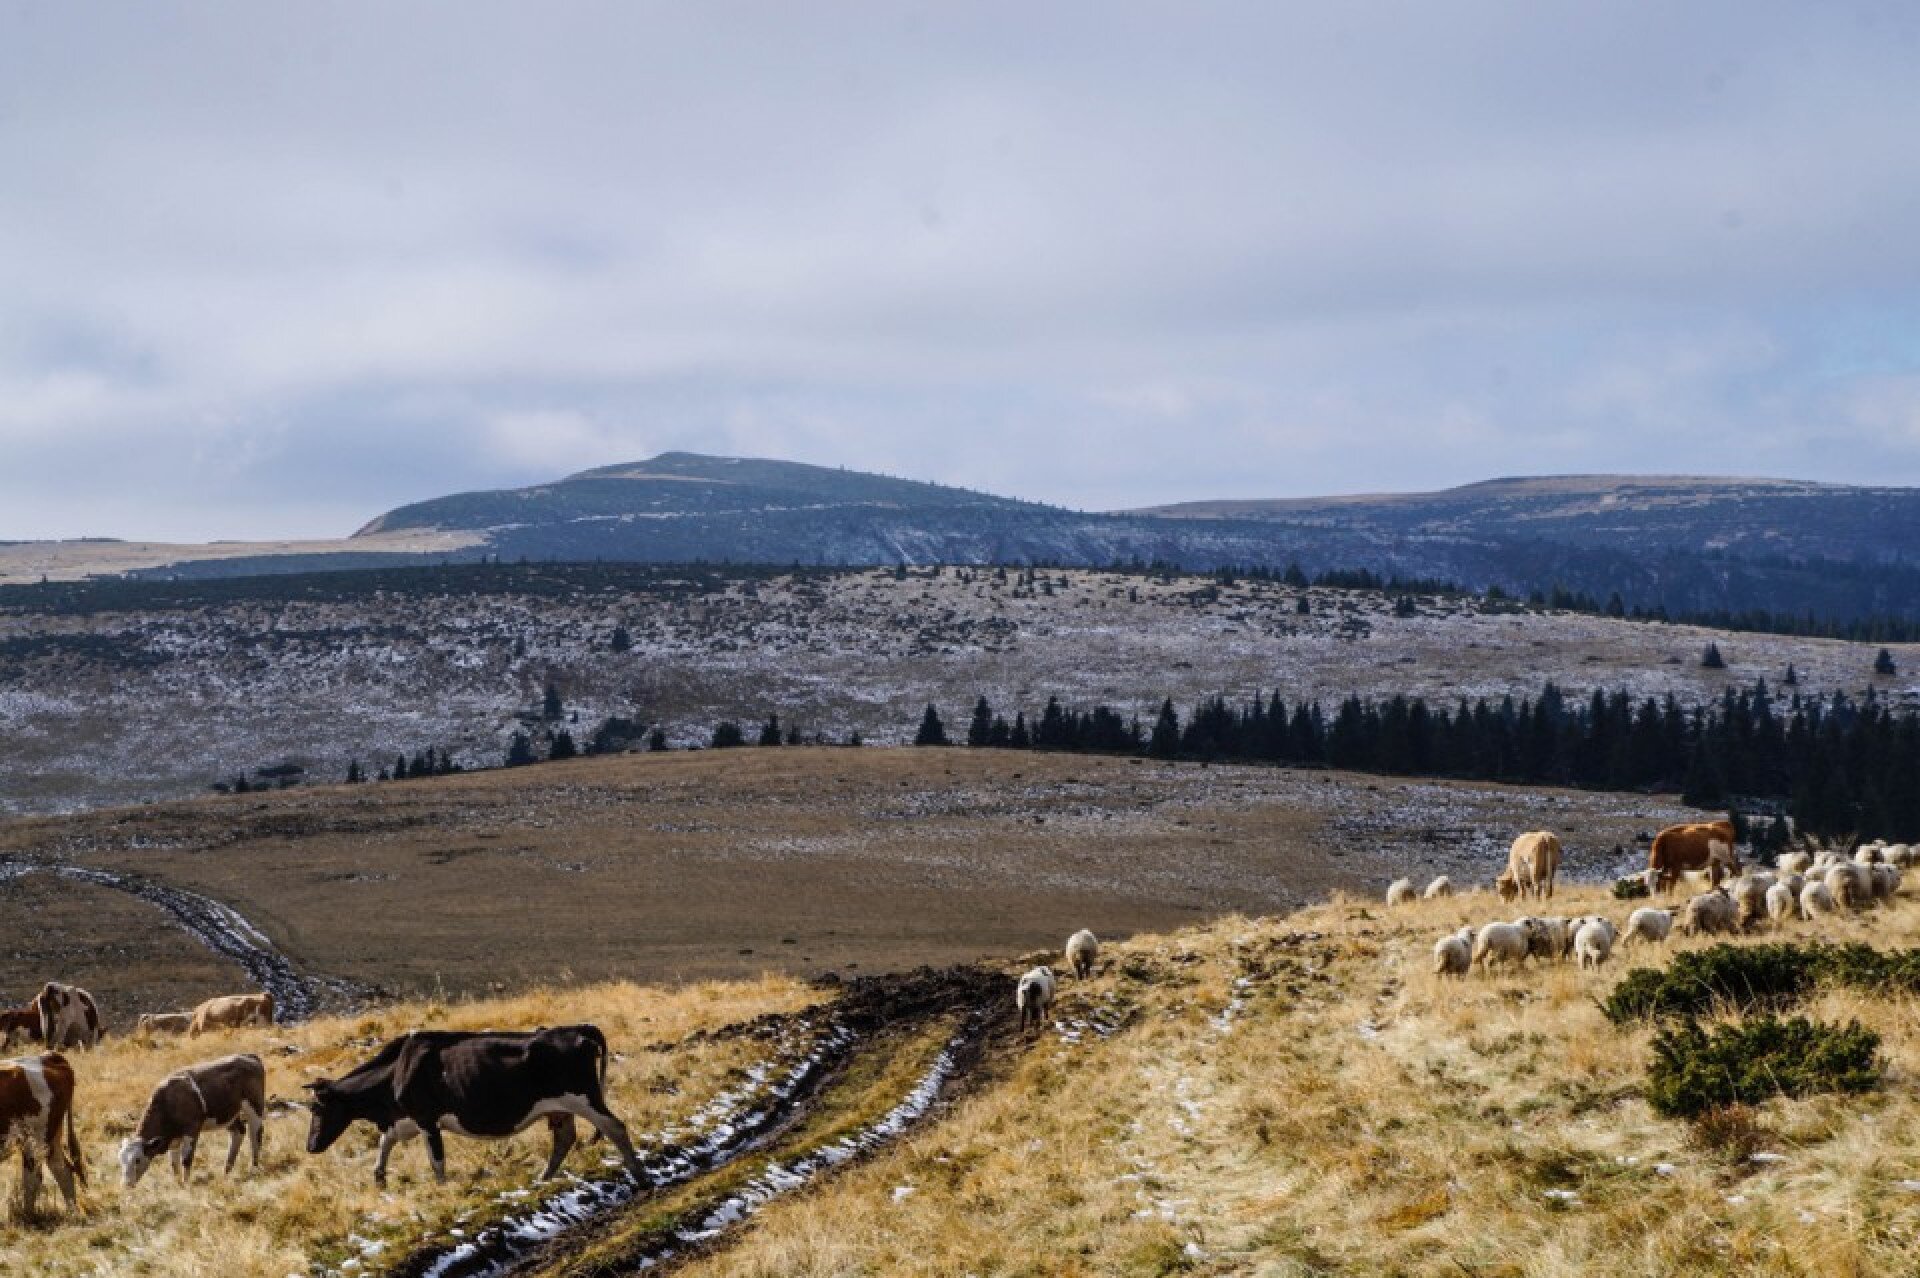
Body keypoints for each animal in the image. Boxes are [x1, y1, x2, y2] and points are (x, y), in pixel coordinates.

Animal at [0, 1052, 85, 1217]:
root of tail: (45, 1057)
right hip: (52, 1137)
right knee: (62, 1169)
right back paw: (72, 1213)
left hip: (36, 1137)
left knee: (33, 1178)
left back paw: (27, 1217)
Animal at [120, 1054, 266, 1187]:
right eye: (121, 1160)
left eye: (137, 1160)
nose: (126, 1184)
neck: (167, 1102)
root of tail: (248, 1056)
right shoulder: (174, 1138)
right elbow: (174, 1163)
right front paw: (178, 1184)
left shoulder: (192, 1129)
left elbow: (186, 1159)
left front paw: (186, 1184)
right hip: (228, 1115)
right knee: (239, 1133)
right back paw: (226, 1171)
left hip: (255, 1106)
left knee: (256, 1135)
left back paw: (253, 1169)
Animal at [303, 1026, 641, 1187]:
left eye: (316, 1110)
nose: (311, 1146)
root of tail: (578, 1030)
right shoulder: (403, 1121)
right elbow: (384, 1145)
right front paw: (379, 1179)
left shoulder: (426, 1119)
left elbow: (437, 1162)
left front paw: (441, 1191)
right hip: (559, 1108)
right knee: (564, 1139)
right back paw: (543, 1179)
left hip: (585, 1099)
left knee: (615, 1127)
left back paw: (640, 1176)